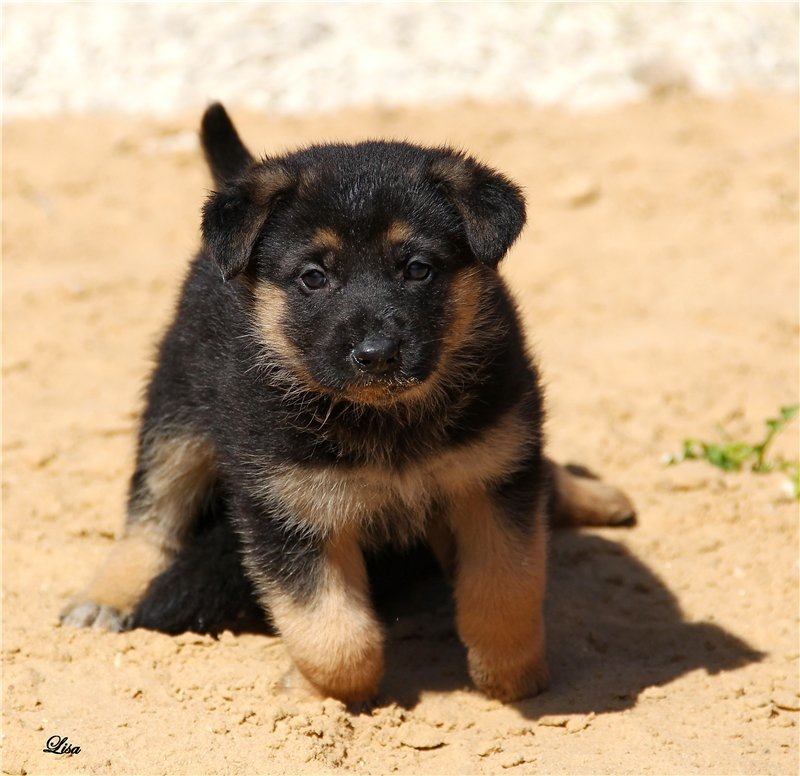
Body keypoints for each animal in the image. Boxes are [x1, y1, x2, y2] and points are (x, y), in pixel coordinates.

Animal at [62, 101, 636, 704]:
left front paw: (511, 678)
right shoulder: (292, 511)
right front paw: (311, 687)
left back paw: (595, 496)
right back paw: (107, 594)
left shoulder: (493, 478)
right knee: (152, 513)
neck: (385, 418)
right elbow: (335, 640)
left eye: (418, 268)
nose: (377, 355)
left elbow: (507, 591)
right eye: (314, 277)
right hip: (178, 414)